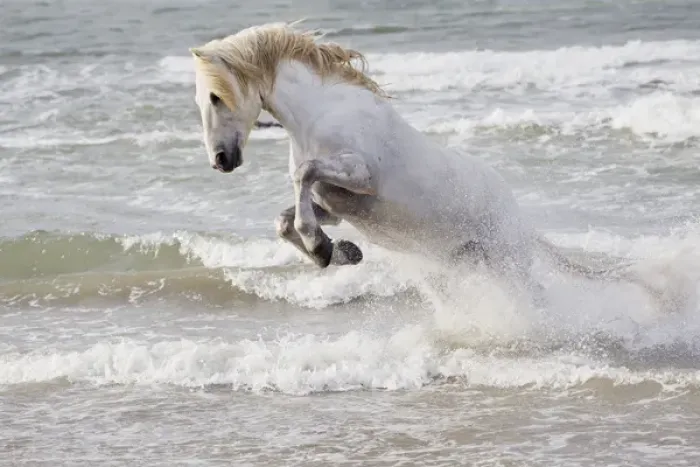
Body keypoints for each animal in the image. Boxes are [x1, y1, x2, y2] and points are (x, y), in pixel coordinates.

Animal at [187, 21, 651, 304]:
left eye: (216, 97)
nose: (220, 161)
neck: (322, 115)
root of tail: (516, 214)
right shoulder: (334, 203)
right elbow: (284, 220)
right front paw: (341, 253)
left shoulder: (360, 176)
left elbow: (304, 176)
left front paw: (321, 248)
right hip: (470, 261)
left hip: (506, 259)